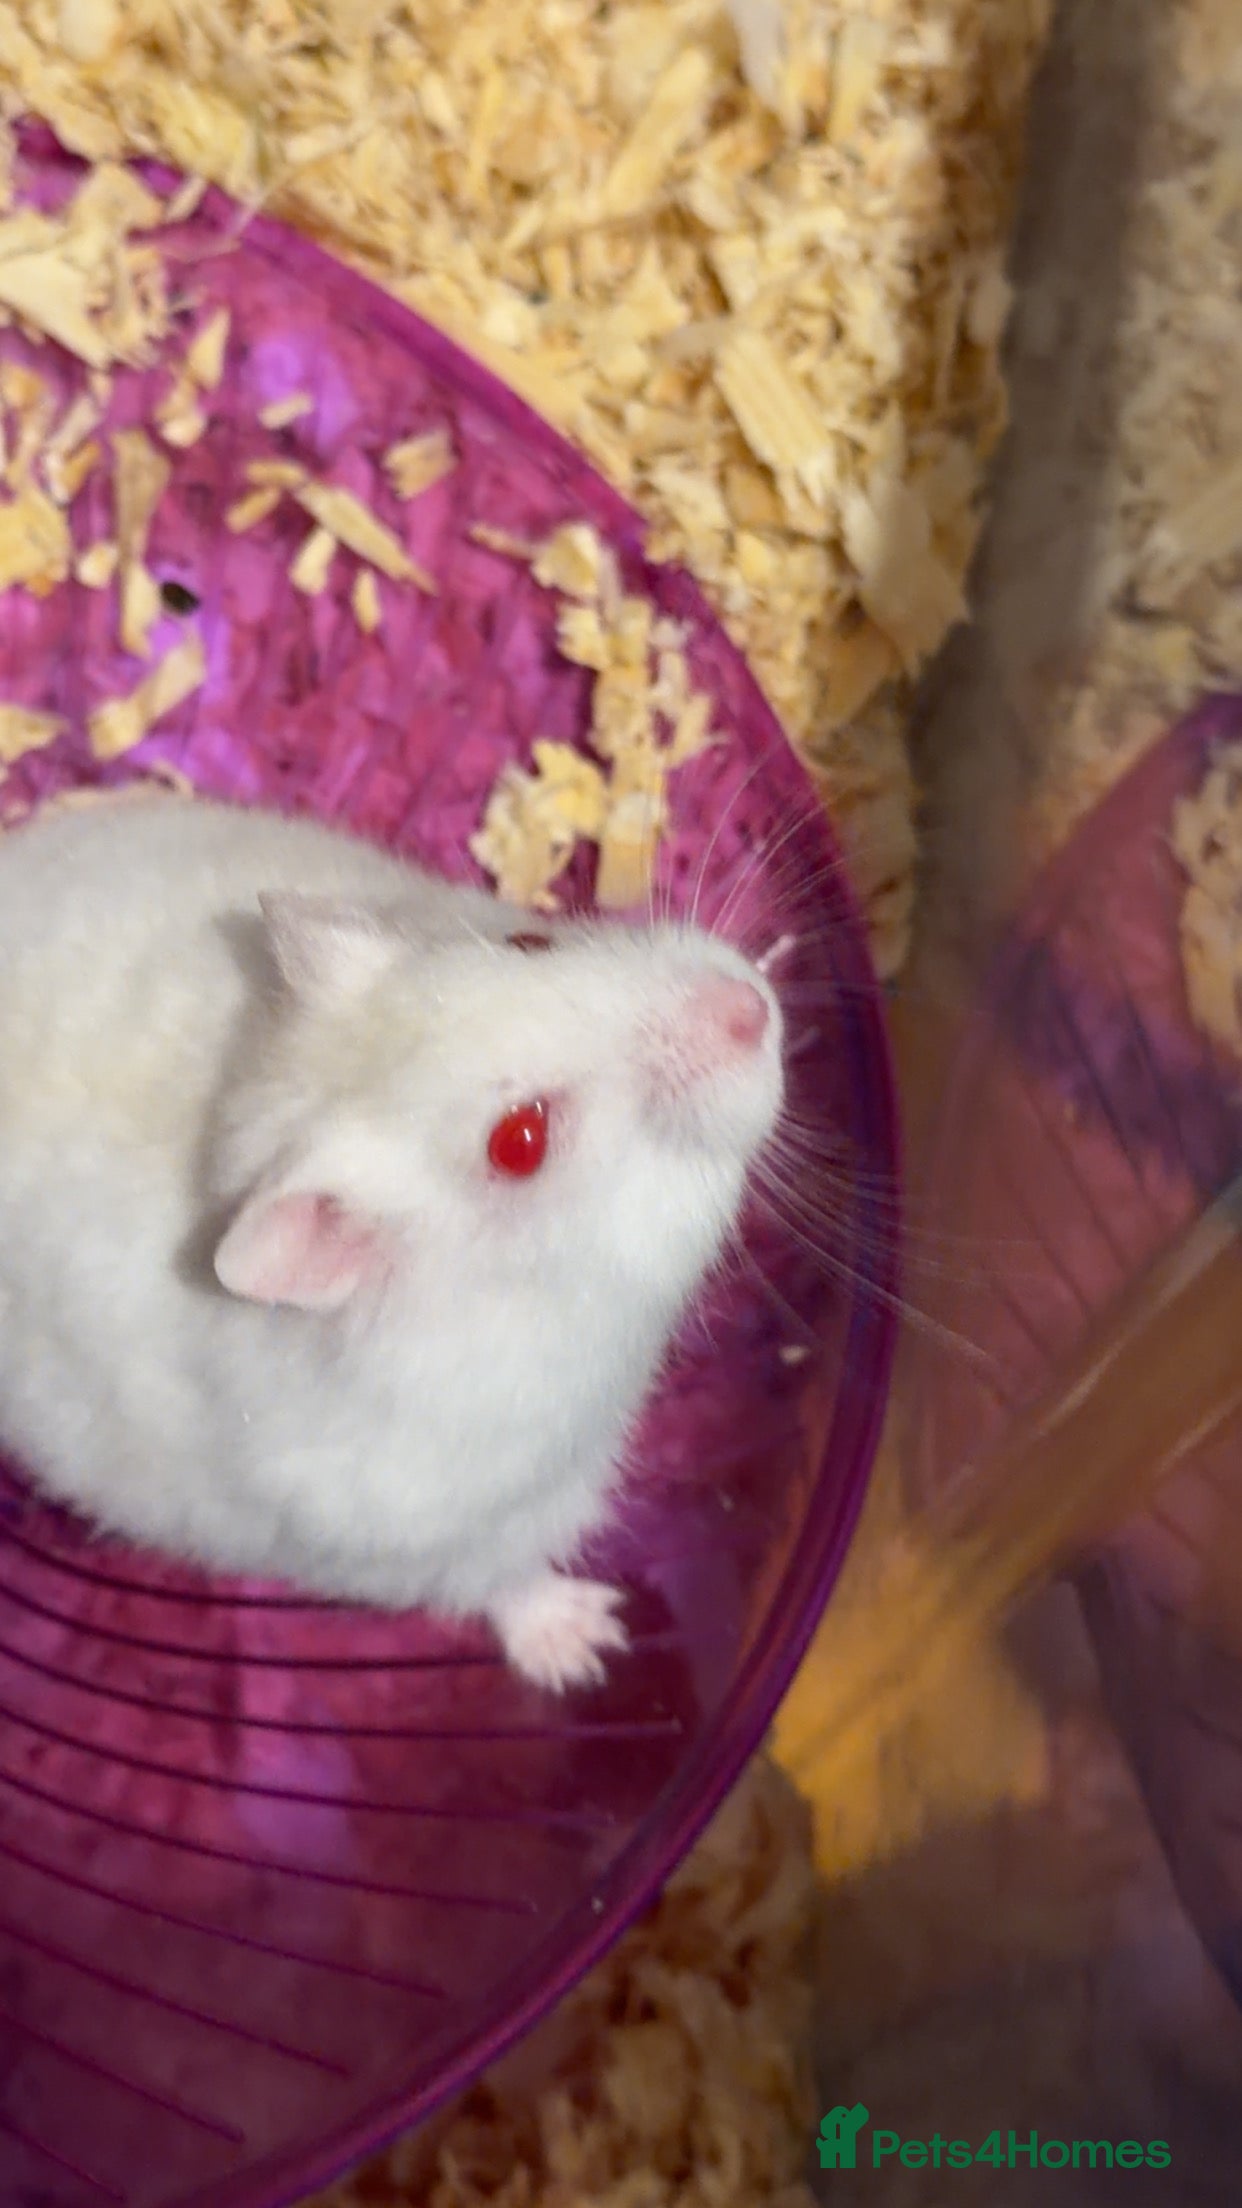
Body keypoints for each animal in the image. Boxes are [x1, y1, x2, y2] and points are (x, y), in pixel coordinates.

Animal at [0, 793, 784, 1690]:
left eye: (530, 943)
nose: (753, 1008)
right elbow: (506, 1579)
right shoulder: (440, 1531)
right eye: (519, 1142)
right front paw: (589, 1646)